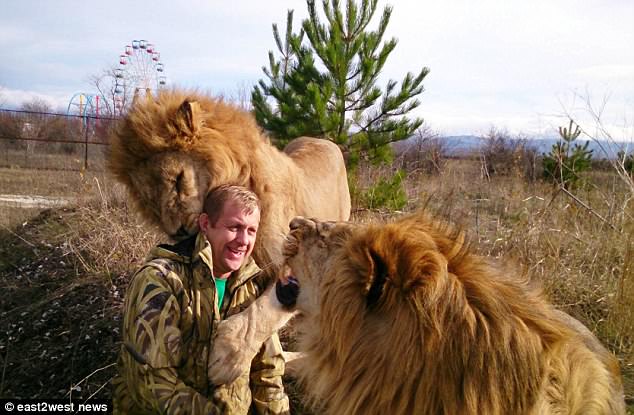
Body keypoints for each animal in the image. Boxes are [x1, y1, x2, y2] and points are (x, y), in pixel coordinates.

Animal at [106, 89, 348, 386]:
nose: (178, 231)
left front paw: (227, 355)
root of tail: (324, 140)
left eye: (178, 180)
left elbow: (262, 312)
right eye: (149, 200)